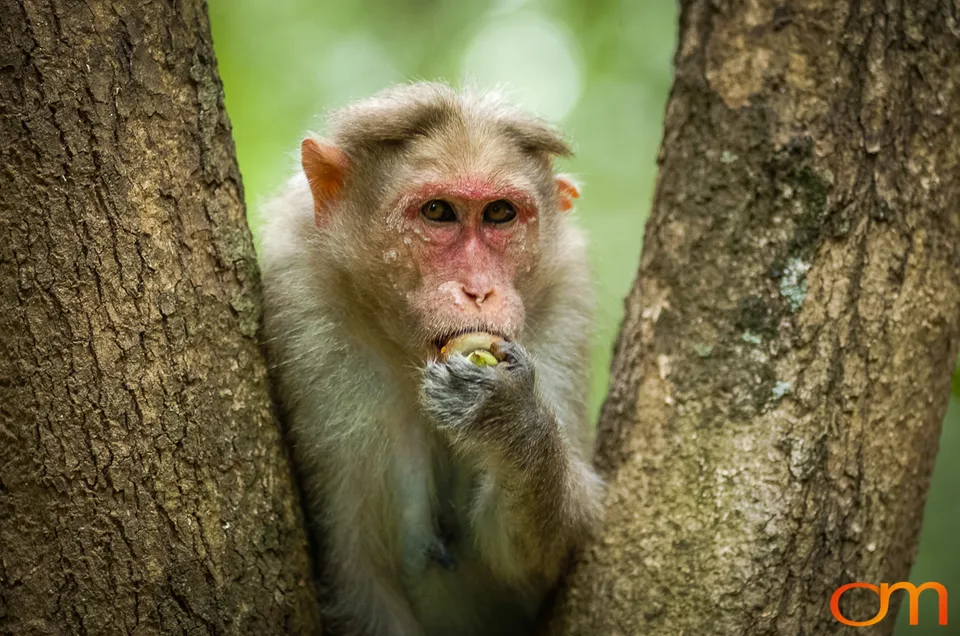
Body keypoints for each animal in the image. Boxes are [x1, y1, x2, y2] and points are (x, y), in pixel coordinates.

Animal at [258, 82, 603, 636]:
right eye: (438, 212)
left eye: (500, 213)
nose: (479, 290)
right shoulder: (304, 307)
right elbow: (358, 576)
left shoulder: (565, 299)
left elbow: (532, 561)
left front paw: (510, 417)